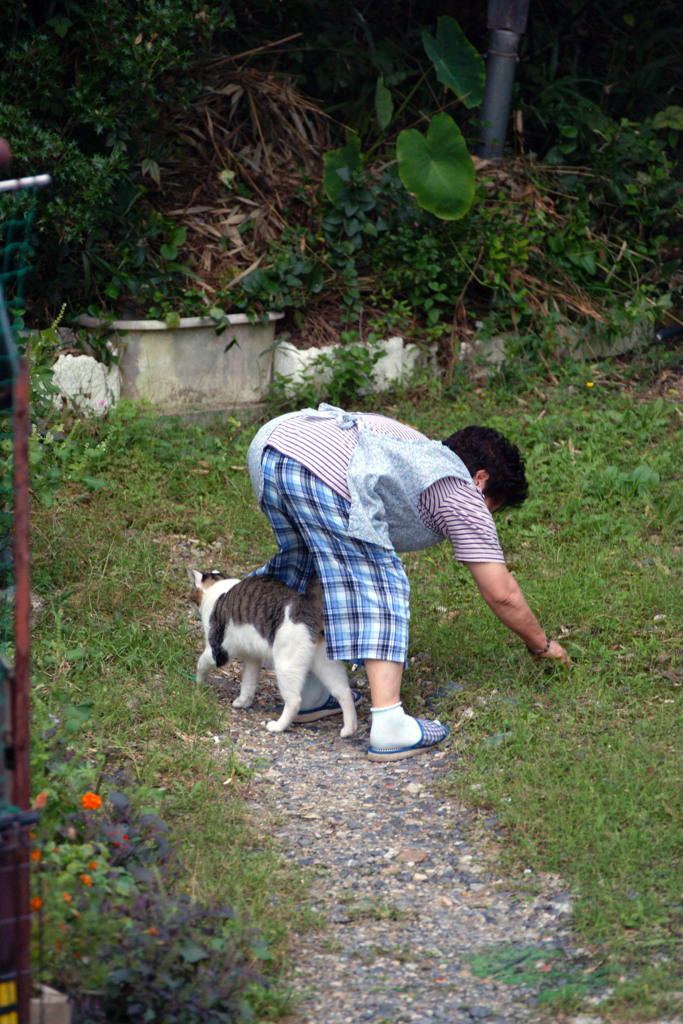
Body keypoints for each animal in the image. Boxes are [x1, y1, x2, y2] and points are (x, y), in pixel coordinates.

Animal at [187, 569, 358, 737]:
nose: (189, 603)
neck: (219, 590)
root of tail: (309, 604)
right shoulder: (252, 657)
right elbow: (248, 682)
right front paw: (243, 701)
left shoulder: (216, 651)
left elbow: (201, 665)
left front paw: (198, 685)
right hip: (325, 663)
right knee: (343, 691)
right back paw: (349, 729)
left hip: (286, 665)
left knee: (295, 701)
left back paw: (278, 726)